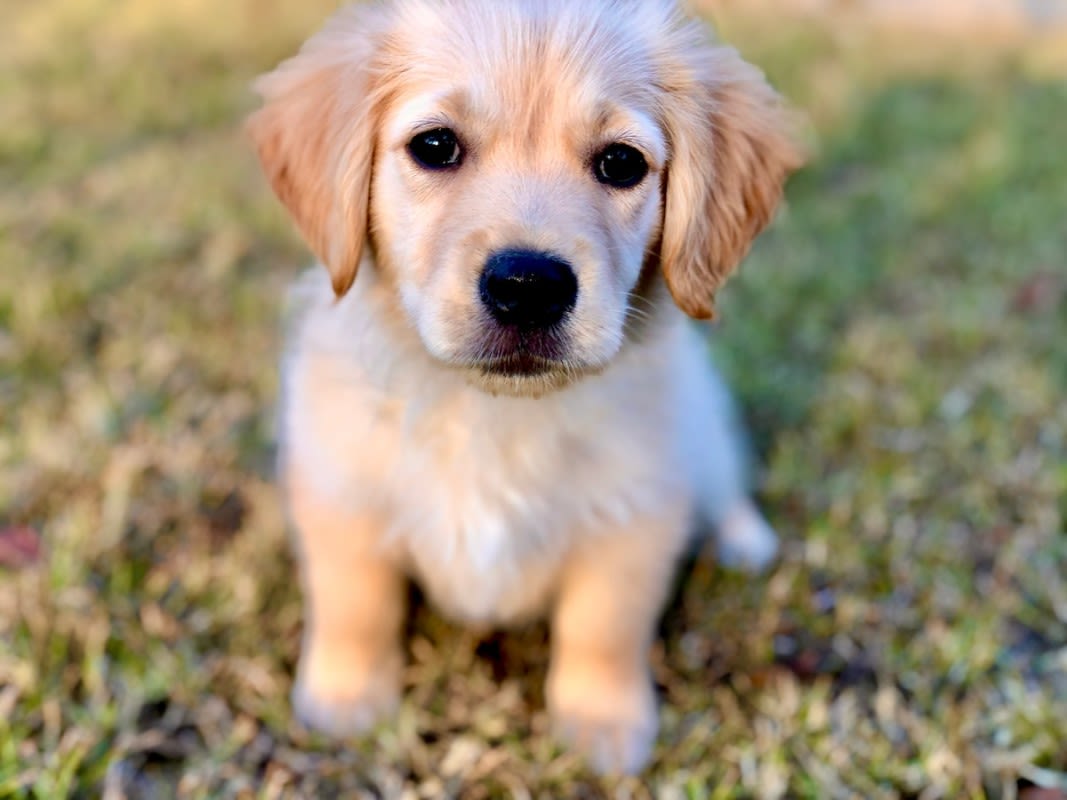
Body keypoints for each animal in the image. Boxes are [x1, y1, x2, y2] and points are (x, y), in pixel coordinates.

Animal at [249, 0, 802, 776]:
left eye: (621, 163)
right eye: (436, 146)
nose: (528, 286)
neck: (491, 411)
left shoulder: (635, 517)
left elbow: (602, 628)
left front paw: (602, 723)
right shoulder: (340, 493)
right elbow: (356, 605)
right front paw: (346, 699)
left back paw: (746, 539)